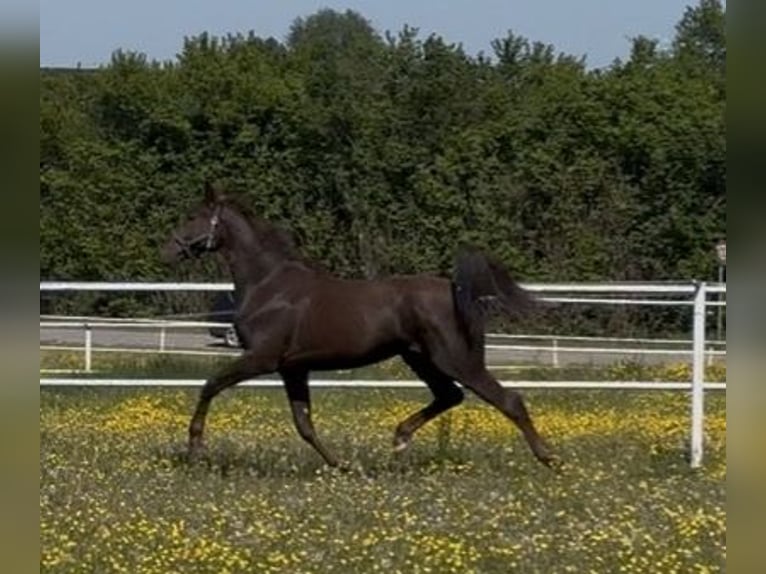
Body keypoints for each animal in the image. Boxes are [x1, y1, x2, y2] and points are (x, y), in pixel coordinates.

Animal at [161, 182, 557, 470]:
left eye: (194, 216)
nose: (169, 249)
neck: (269, 285)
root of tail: (455, 288)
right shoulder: (293, 368)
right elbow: (304, 423)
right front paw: (342, 466)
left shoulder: (262, 358)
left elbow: (210, 386)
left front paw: (195, 450)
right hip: (420, 358)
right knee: (450, 395)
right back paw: (399, 438)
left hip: (455, 359)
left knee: (507, 399)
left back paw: (549, 458)